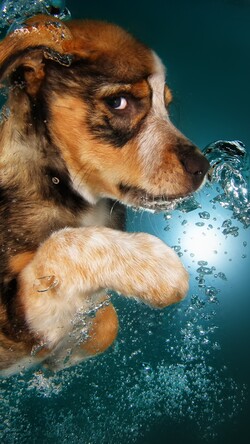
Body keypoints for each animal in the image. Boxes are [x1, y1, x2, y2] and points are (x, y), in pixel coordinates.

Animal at [0, 14, 210, 374]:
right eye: (118, 102)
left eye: (166, 106)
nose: (203, 167)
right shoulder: (11, 317)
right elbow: (64, 243)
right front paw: (152, 265)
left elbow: (106, 320)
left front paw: (63, 357)